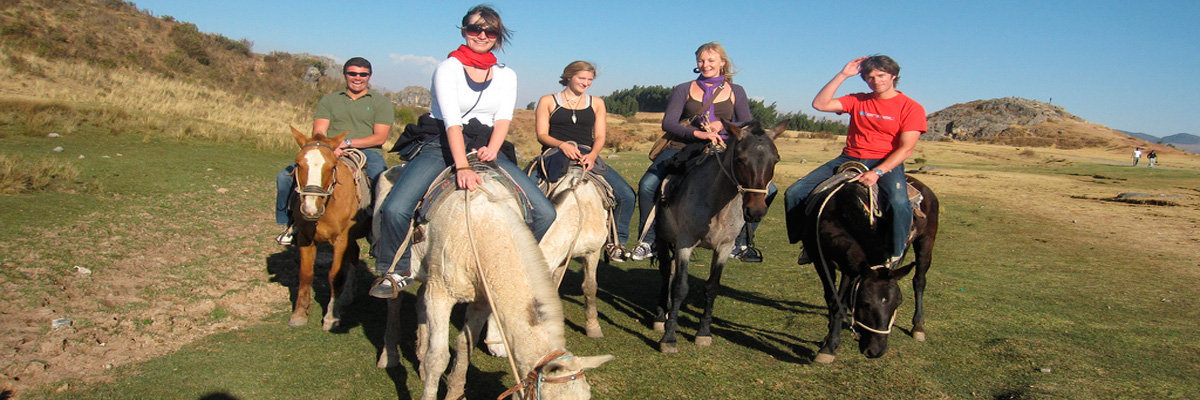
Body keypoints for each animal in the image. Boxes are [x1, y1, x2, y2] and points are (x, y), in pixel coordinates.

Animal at [288, 126, 367, 329]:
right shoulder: (305, 238)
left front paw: (332, 316)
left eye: (332, 166)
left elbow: (335, 276)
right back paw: (347, 296)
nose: (310, 208)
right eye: (298, 164)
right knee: (354, 254)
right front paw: (299, 313)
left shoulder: (341, 240)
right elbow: (306, 274)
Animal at [801, 164, 940, 360]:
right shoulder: (821, 259)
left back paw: (918, 327)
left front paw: (830, 344)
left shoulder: (851, 268)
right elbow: (833, 299)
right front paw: (829, 342)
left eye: (898, 303)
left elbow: (841, 301)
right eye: (865, 303)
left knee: (919, 280)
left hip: (926, 241)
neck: (837, 215)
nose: (876, 351)